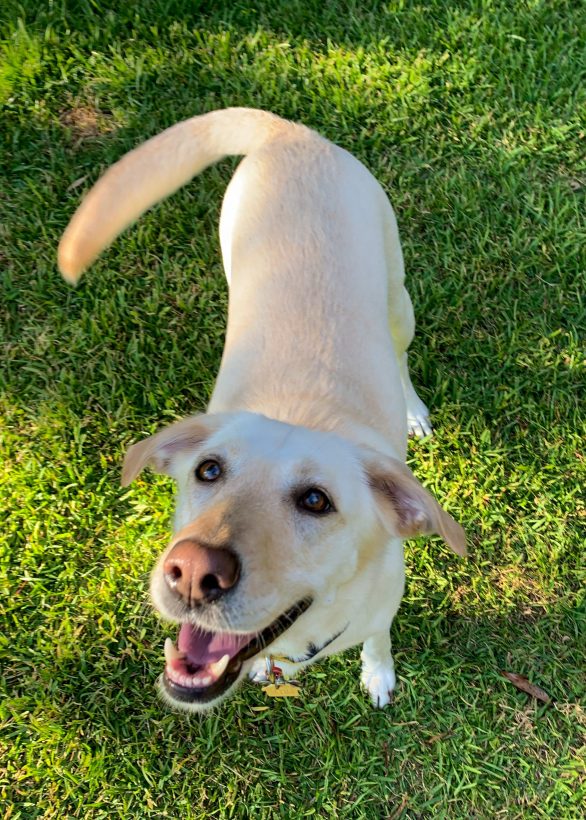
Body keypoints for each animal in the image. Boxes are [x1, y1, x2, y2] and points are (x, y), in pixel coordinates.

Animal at [57, 109, 464, 712]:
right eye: (208, 470)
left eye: (317, 501)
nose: (193, 572)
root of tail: (290, 132)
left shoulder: (382, 611)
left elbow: (378, 644)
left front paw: (378, 677)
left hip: (397, 297)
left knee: (401, 354)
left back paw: (412, 411)